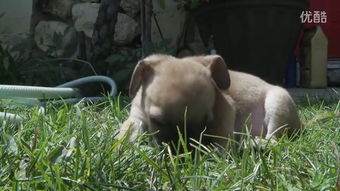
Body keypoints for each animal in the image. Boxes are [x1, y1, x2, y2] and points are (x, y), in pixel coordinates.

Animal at [117, 54, 302, 148]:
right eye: (158, 121)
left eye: (206, 122)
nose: (186, 145)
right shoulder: (137, 118)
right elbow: (127, 131)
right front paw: (121, 150)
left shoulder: (225, 111)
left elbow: (221, 138)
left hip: (277, 102)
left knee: (275, 138)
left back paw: (258, 143)